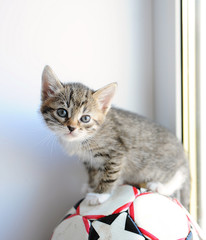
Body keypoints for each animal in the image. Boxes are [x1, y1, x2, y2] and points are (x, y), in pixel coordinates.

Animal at [39, 65, 190, 208]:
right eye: (62, 112)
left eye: (85, 118)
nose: (71, 127)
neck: (86, 138)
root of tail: (182, 153)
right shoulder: (89, 160)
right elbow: (93, 173)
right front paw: (91, 186)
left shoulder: (117, 152)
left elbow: (110, 174)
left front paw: (100, 194)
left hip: (158, 165)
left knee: (179, 173)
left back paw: (161, 186)